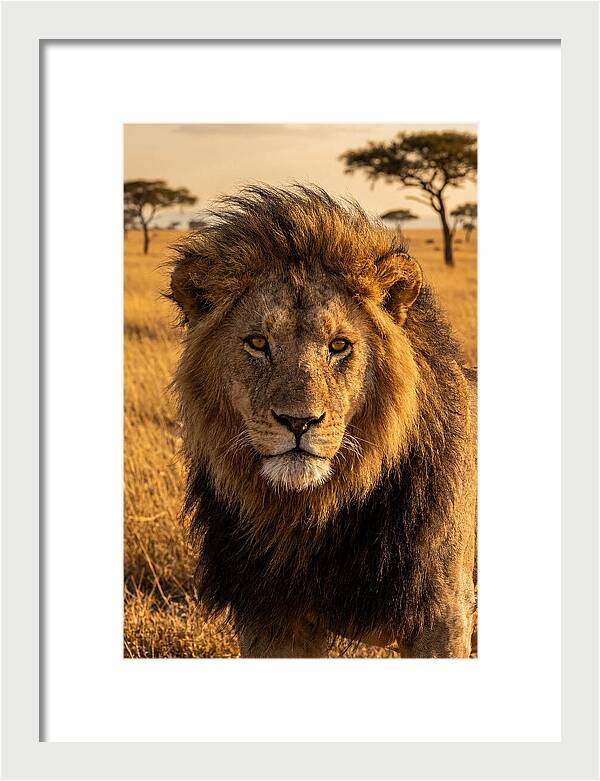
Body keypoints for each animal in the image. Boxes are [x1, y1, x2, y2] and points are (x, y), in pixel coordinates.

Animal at [168, 184, 477, 658]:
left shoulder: (443, 616)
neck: (312, 516)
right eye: (257, 343)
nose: (298, 422)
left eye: (339, 345)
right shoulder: (270, 619)